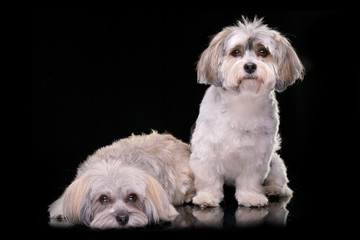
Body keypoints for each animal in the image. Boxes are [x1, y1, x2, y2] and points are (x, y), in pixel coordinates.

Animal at [190, 16, 306, 208]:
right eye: (236, 52)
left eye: (263, 52)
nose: (250, 66)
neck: (243, 100)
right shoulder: (206, 151)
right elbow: (209, 178)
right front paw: (207, 197)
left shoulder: (257, 155)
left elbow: (249, 179)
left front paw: (251, 197)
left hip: (276, 162)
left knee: (279, 179)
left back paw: (275, 189)